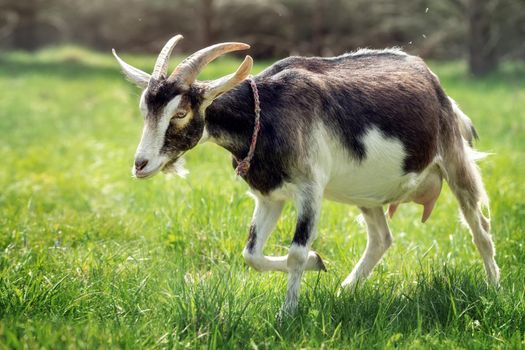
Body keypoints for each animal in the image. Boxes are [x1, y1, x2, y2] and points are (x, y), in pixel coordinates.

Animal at [112, 35, 498, 318]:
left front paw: (287, 313)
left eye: (179, 113)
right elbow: (251, 254)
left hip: (454, 159)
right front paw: (319, 262)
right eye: (145, 109)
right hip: (366, 192)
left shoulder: (310, 190)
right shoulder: (269, 197)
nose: (141, 164)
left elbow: (295, 253)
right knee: (381, 239)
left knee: (480, 227)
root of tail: (436, 86)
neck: (264, 114)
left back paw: (494, 289)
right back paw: (346, 290)